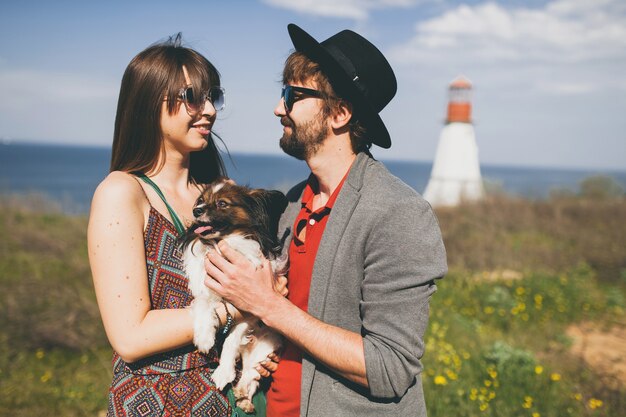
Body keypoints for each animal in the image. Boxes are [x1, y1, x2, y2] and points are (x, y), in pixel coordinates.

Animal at [179, 177, 286, 412]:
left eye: (222, 204)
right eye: (200, 201)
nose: (196, 210)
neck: (221, 243)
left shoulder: (249, 312)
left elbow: (230, 340)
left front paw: (223, 372)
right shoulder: (206, 289)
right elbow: (203, 304)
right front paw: (204, 337)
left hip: (266, 347)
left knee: (250, 373)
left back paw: (244, 397)